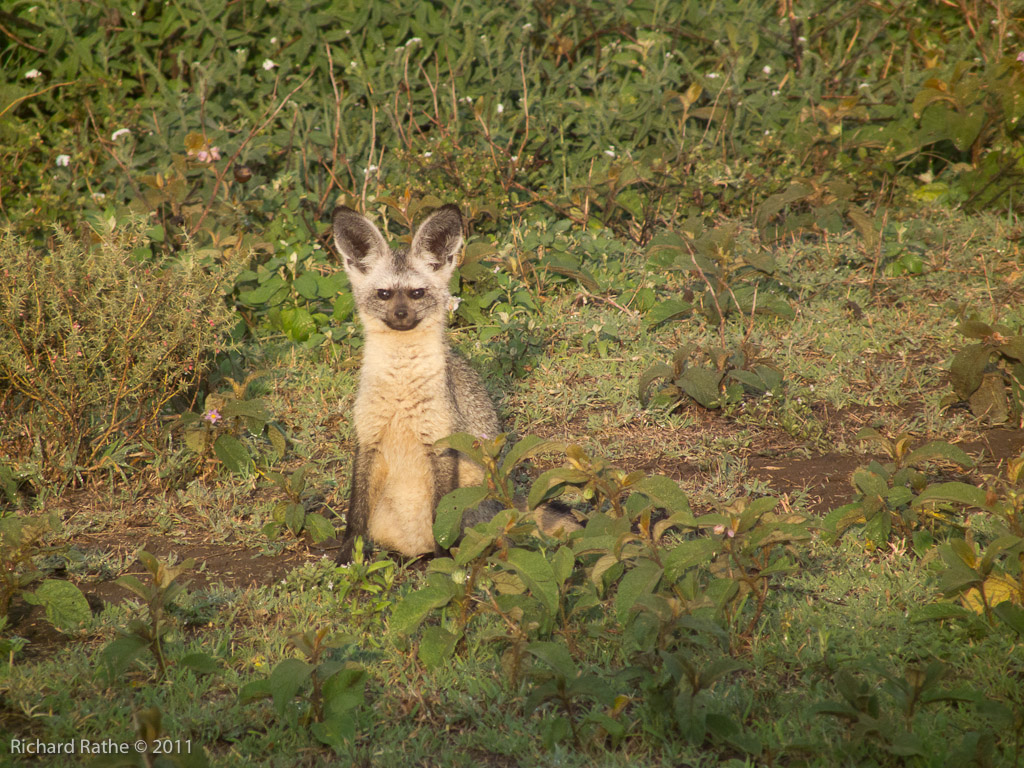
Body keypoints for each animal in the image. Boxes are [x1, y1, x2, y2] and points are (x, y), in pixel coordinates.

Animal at [332, 203, 574, 562]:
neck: (401, 392)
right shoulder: (367, 437)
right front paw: (348, 556)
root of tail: (506, 503)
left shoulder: (441, 440)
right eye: (384, 294)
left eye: (417, 293)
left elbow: (441, 516)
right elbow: (355, 513)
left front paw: (444, 564)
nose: (401, 315)